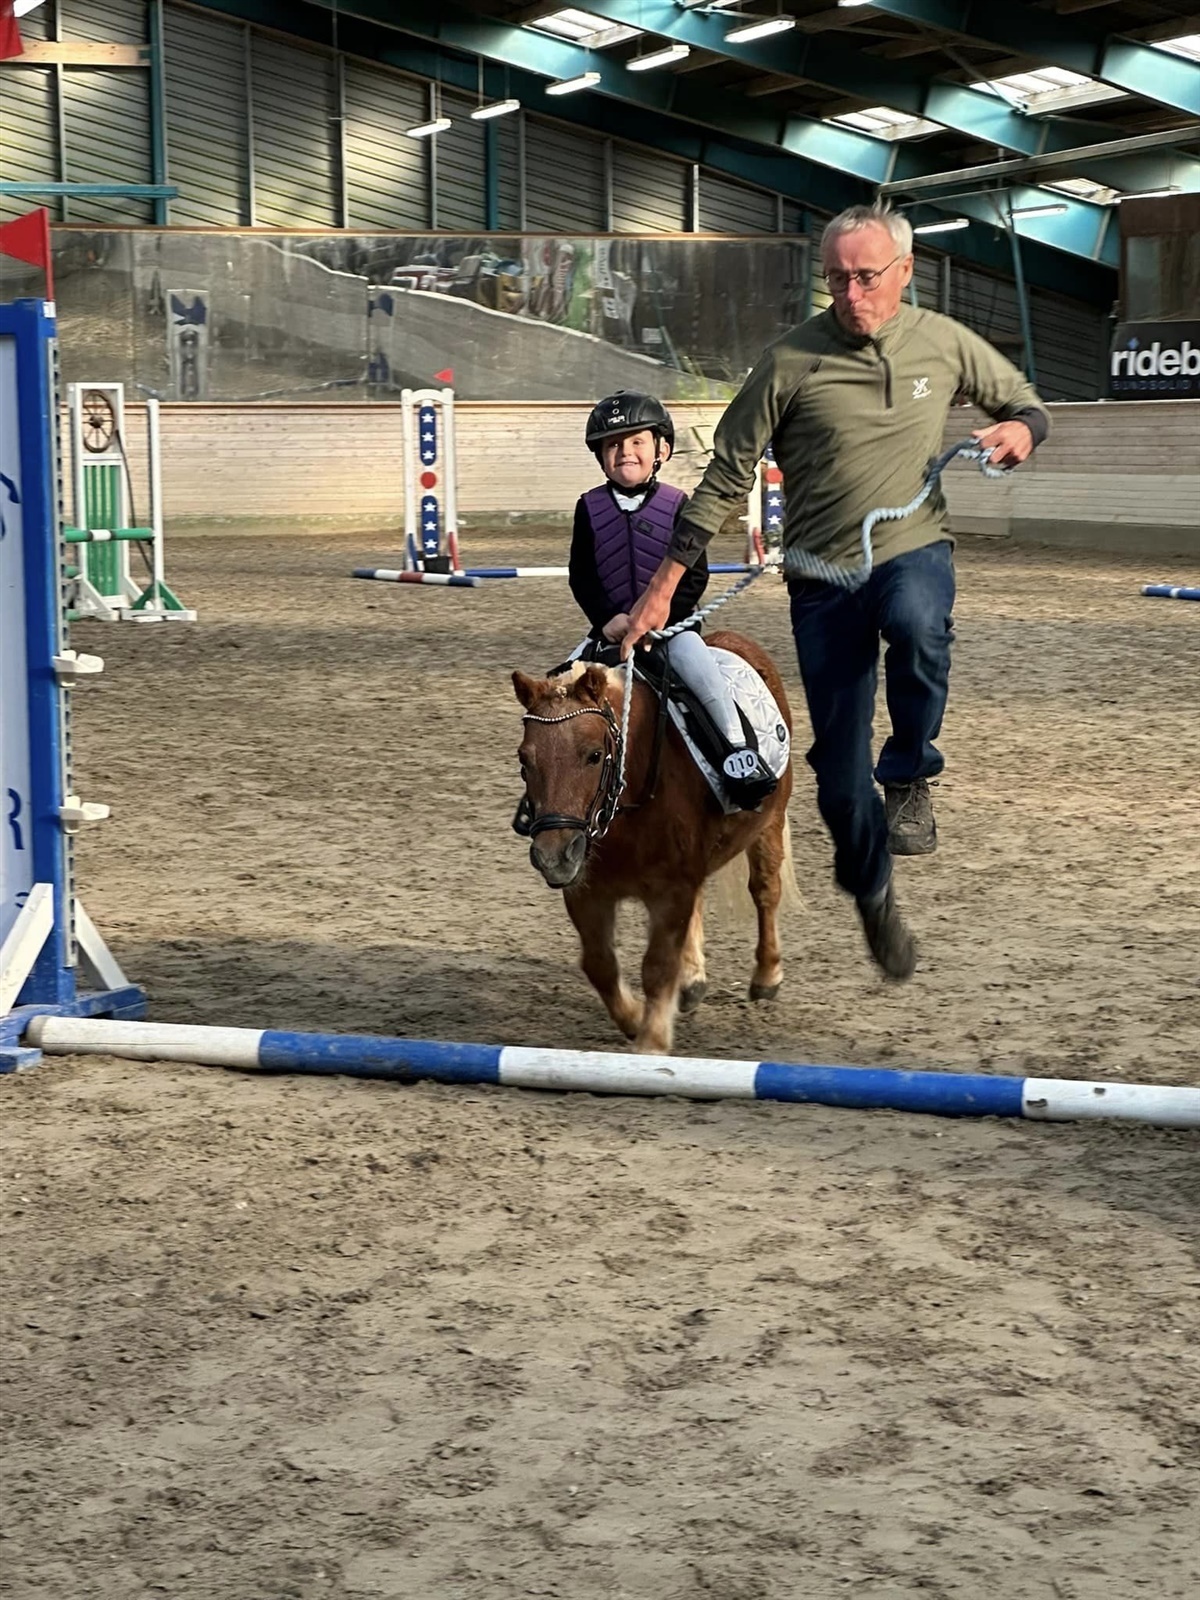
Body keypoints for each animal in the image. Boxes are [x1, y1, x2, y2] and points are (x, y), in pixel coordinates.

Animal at [511, 629, 794, 1055]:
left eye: (594, 755)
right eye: (524, 761)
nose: (553, 856)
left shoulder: (671, 890)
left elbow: (658, 966)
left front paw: (651, 1044)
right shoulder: (587, 891)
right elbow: (599, 964)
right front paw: (633, 1020)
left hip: (769, 825)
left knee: (765, 891)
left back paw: (766, 976)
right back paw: (692, 980)